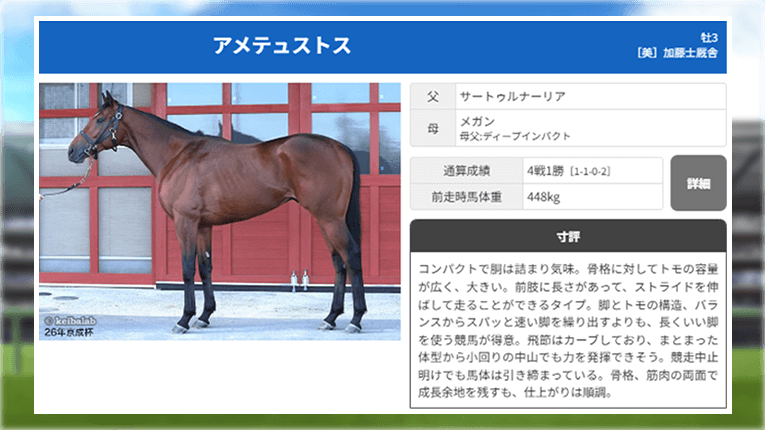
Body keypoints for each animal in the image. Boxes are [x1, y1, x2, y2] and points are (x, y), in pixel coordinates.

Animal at [67, 91, 367, 334]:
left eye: (100, 120)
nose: (72, 151)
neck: (178, 156)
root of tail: (340, 147)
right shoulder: (203, 226)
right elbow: (205, 267)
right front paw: (204, 316)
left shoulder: (185, 223)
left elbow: (188, 269)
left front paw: (184, 320)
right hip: (325, 220)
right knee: (338, 263)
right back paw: (330, 318)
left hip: (330, 219)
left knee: (351, 256)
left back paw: (355, 320)